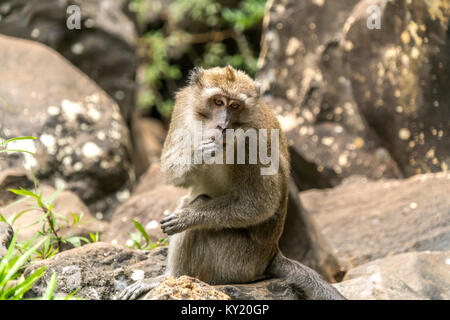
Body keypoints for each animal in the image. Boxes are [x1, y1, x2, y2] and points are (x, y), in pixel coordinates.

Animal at [118, 64, 344, 300]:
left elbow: (258, 205)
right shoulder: (183, 106)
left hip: (236, 262)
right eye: (218, 102)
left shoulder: (252, 142)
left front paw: (187, 218)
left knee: (199, 210)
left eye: (235, 106)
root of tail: (272, 255)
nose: (222, 125)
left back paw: (171, 277)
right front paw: (198, 155)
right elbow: (171, 166)